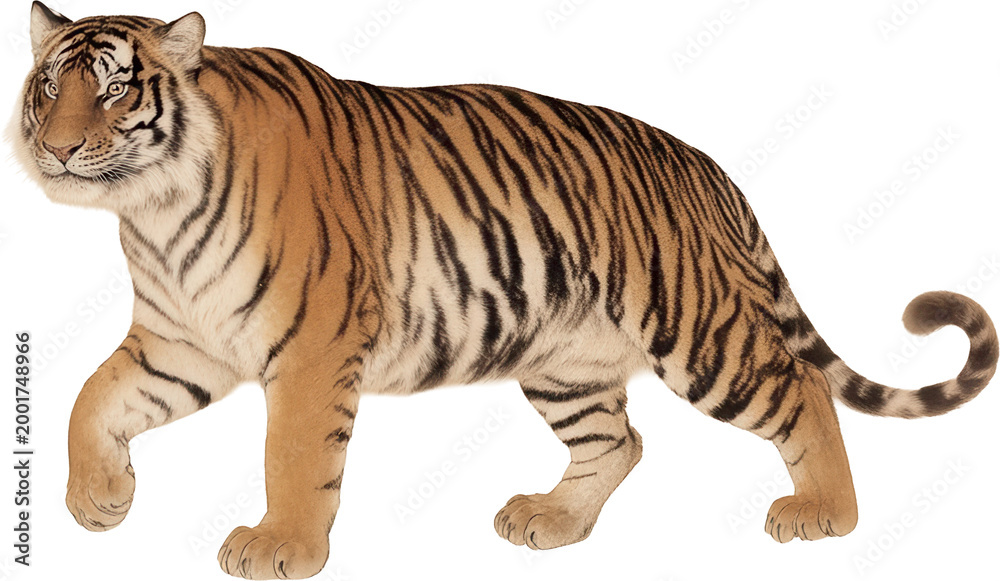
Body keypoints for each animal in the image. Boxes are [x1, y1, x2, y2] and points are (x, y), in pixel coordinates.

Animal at [10, 2, 998, 579]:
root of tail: (702, 163)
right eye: (47, 87)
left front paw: (281, 545)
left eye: (112, 94)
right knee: (621, 438)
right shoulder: (182, 343)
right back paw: (552, 520)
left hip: (699, 330)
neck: (153, 210)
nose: (54, 149)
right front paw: (98, 499)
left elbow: (291, 456)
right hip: (564, 361)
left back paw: (826, 513)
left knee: (795, 388)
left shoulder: (314, 344)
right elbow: (90, 397)